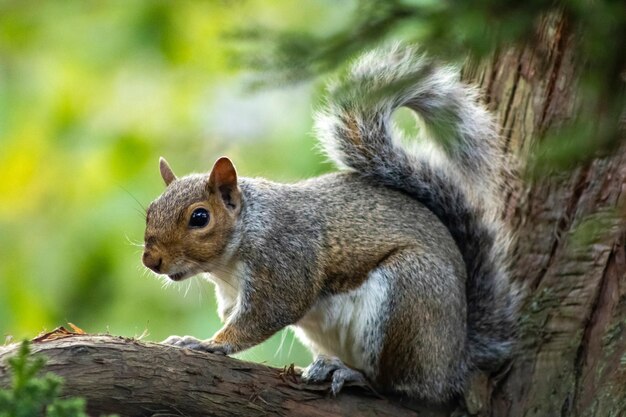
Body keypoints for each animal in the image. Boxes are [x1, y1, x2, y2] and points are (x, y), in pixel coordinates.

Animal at [141, 44, 516, 400]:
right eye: (150, 211)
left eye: (199, 217)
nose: (151, 260)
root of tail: (453, 362)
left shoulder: (286, 261)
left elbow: (265, 316)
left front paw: (209, 343)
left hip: (410, 299)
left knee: (397, 384)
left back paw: (352, 375)